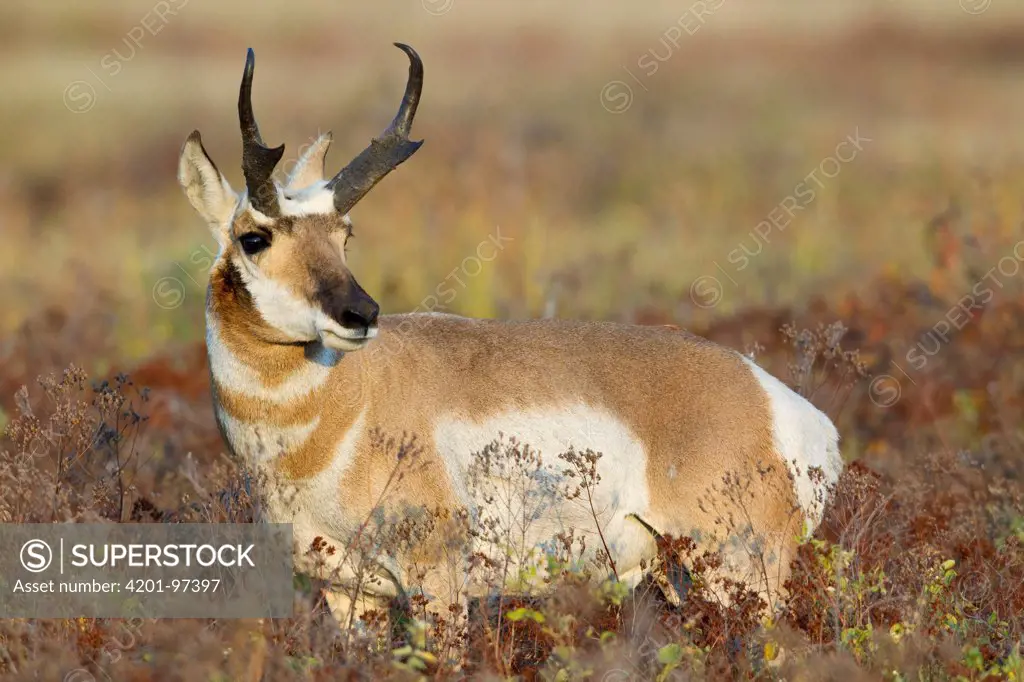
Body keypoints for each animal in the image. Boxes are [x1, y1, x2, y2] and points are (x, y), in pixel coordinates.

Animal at [178, 43, 839, 622]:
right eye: (254, 238)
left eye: (345, 234)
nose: (361, 315)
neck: (346, 405)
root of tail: (774, 401)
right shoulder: (348, 595)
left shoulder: (435, 584)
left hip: (739, 576)